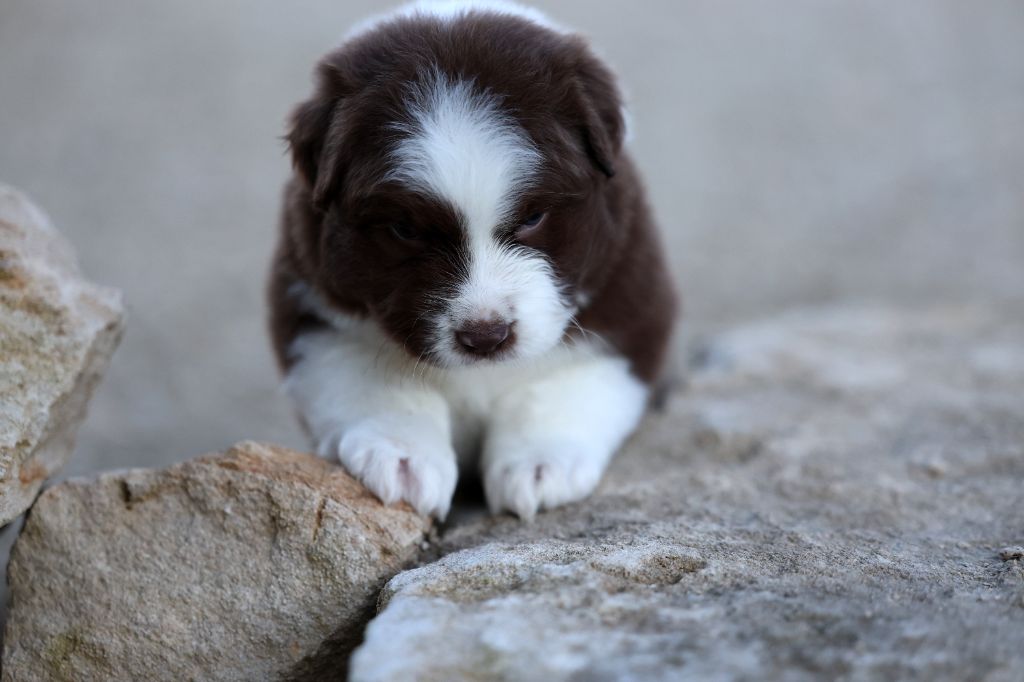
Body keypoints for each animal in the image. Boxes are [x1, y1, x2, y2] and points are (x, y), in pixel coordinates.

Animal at [268, 1, 677, 520]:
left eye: (534, 216)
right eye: (405, 229)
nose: (486, 337)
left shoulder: (626, 300)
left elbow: (558, 383)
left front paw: (541, 464)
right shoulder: (314, 303)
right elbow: (377, 376)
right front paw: (401, 456)